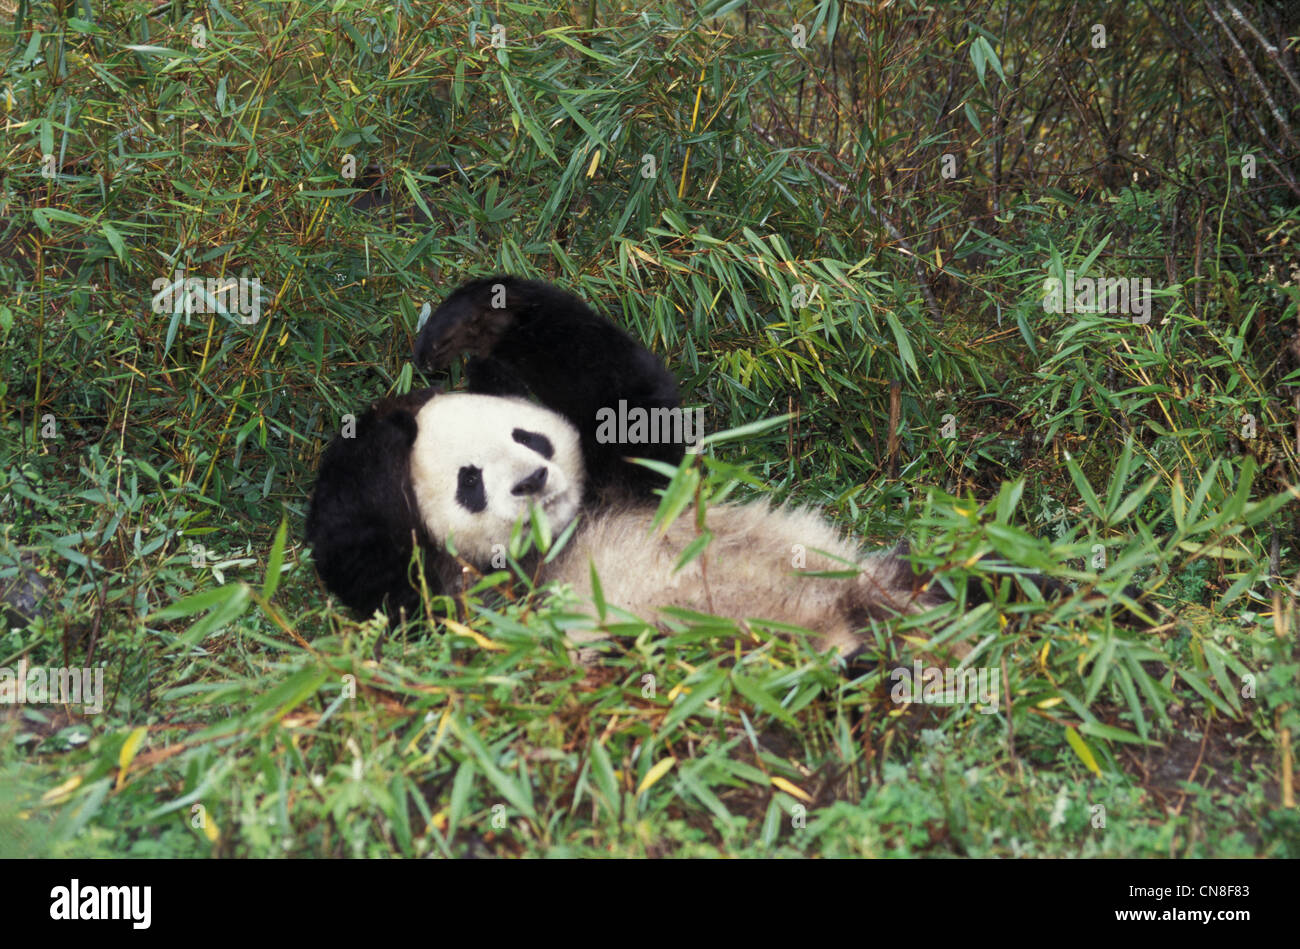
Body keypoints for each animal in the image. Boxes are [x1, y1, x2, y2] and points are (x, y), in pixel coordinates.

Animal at [306, 276, 1118, 660]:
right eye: (470, 482)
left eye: (528, 436)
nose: (534, 482)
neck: (563, 537)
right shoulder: (486, 606)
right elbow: (386, 574)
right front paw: (379, 430)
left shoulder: (634, 483)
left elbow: (628, 394)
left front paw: (462, 327)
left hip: (904, 575)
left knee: (1007, 582)